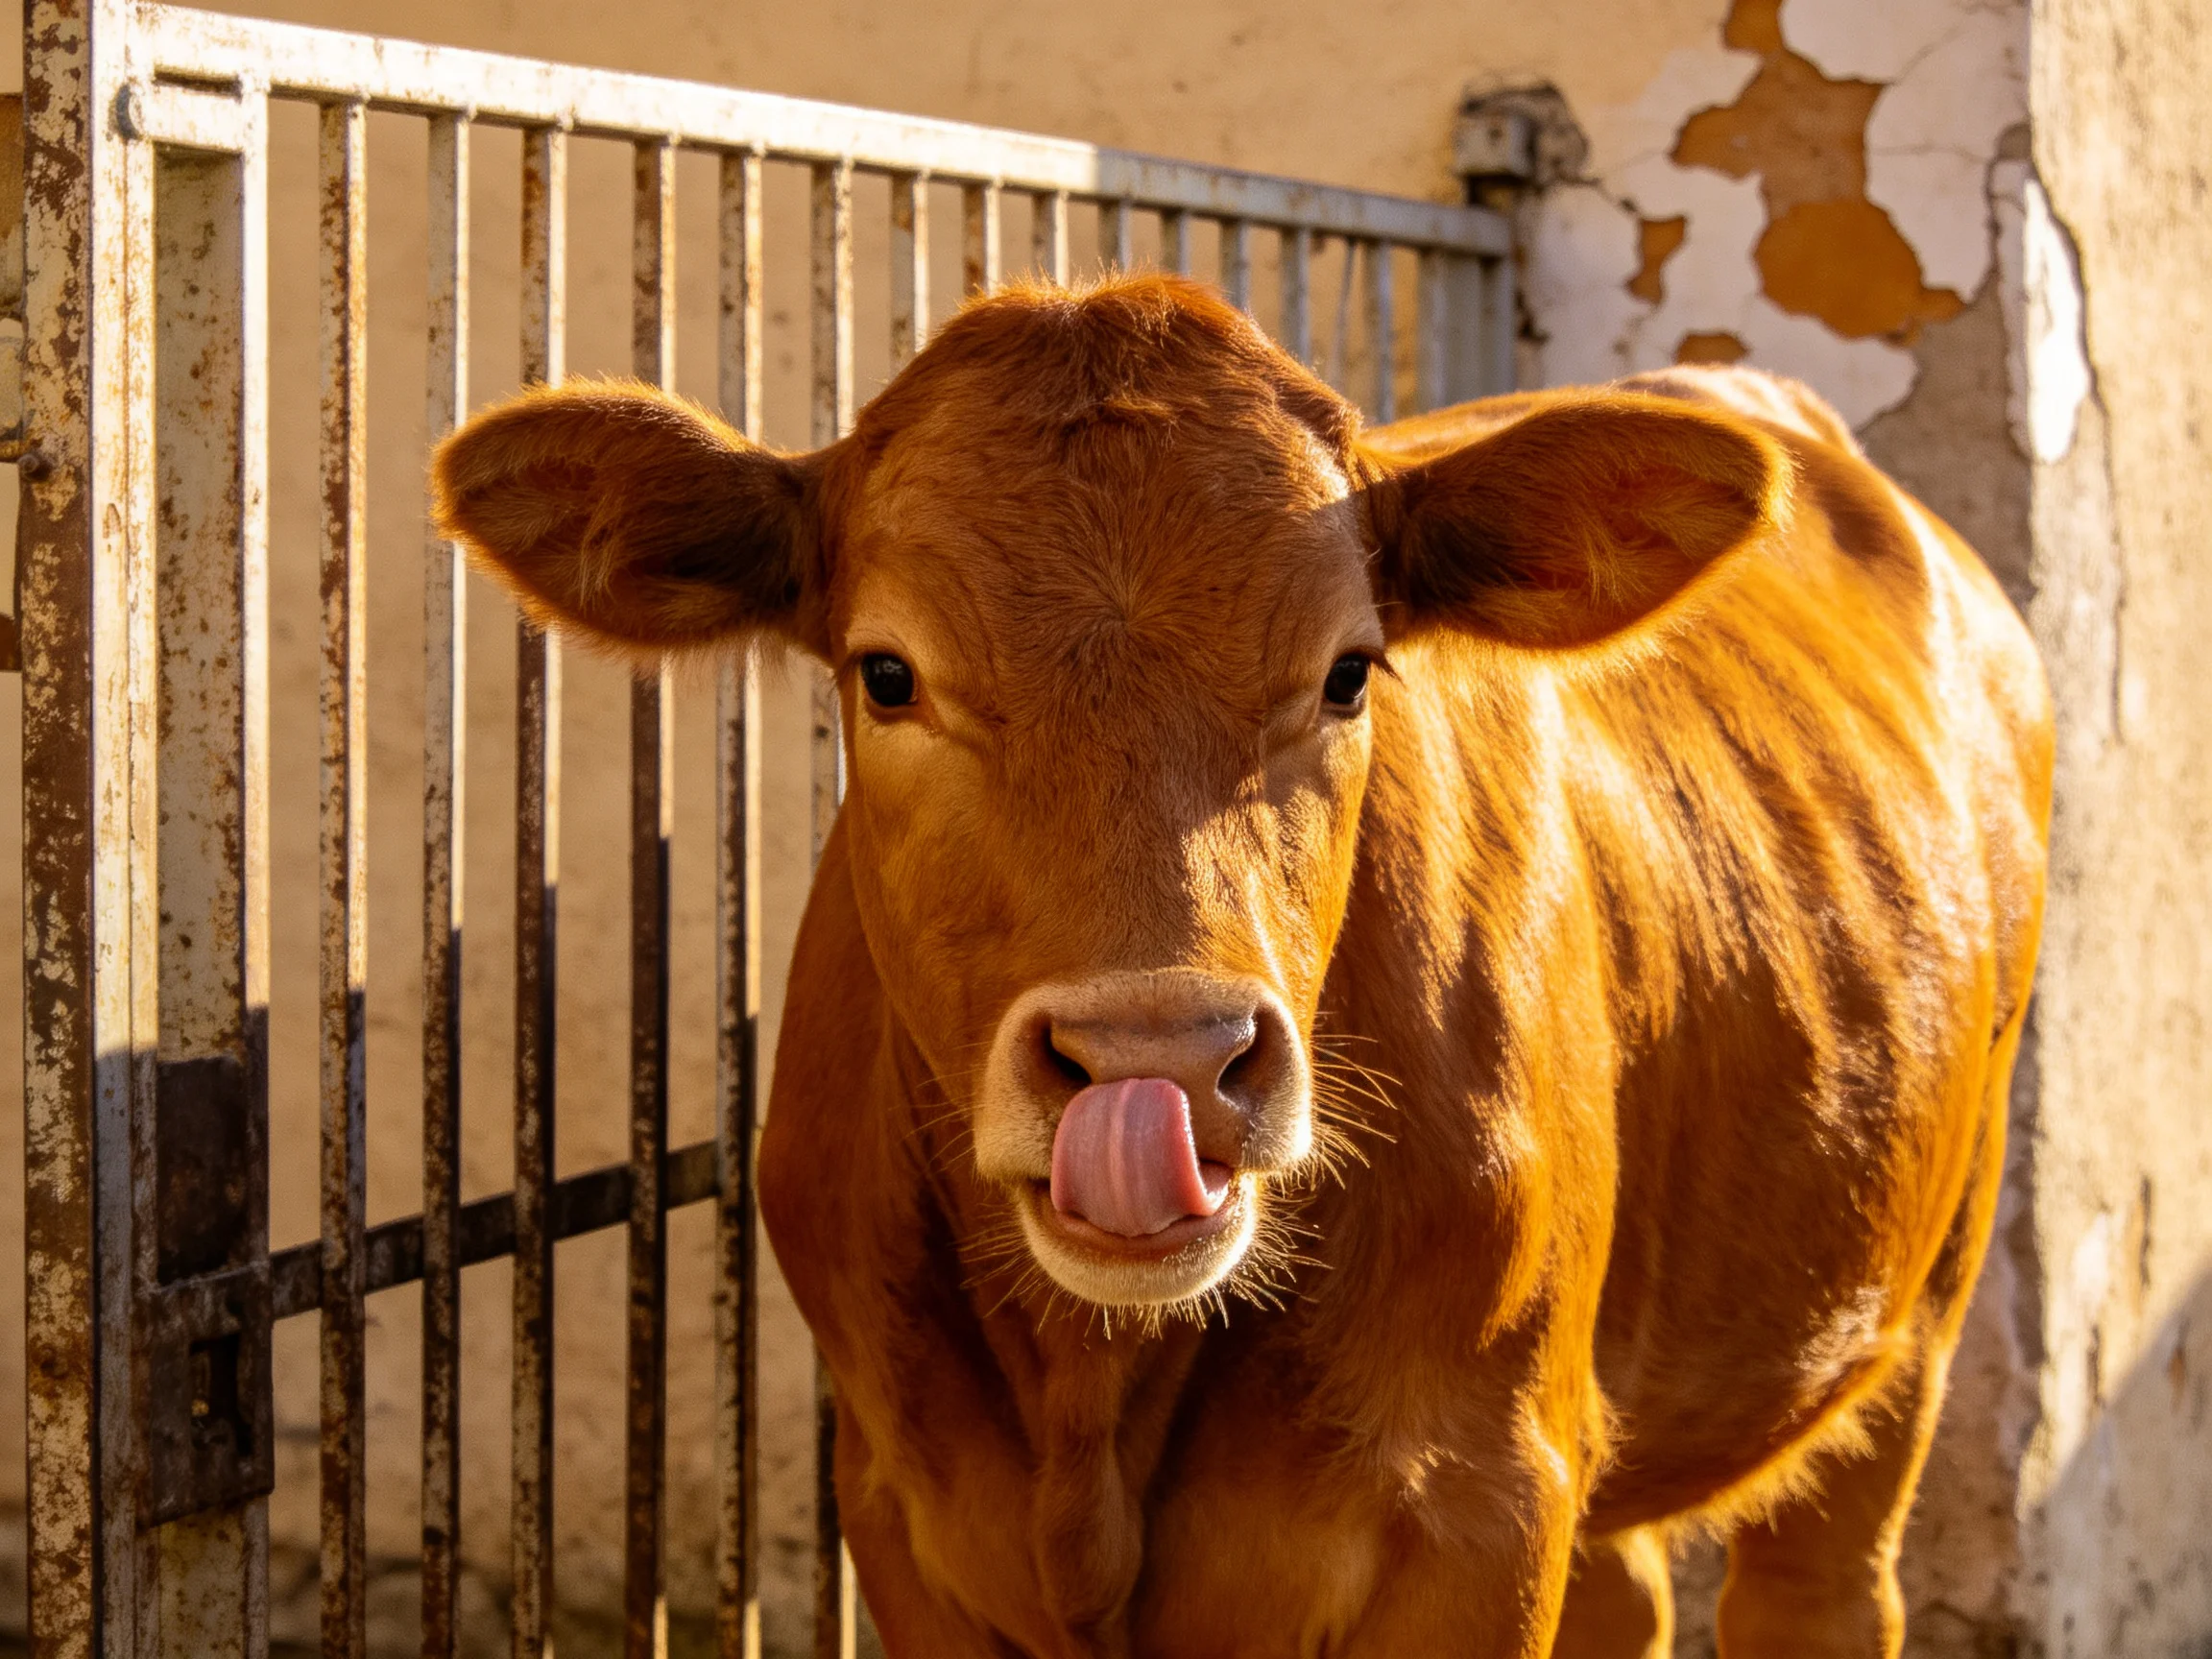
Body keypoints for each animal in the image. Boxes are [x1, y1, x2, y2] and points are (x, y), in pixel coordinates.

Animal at [435, 275, 2051, 1658]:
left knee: (1822, 1583)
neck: (1097, 1392)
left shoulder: (1480, 1504)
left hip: (1920, 1294)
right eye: (886, 675)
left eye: (1348, 672)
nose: (1159, 1066)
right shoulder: (901, 1508)